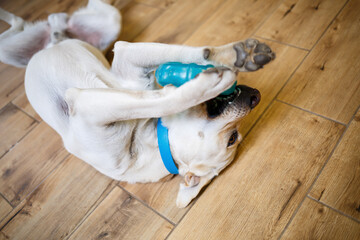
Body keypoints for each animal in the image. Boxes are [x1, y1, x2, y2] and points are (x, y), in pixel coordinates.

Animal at [0, 0, 276, 207]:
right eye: (233, 139)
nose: (256, 95)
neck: (149, 138)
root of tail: (51, 41)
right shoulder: (125, 57)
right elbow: (189, 54)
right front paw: (237, 55)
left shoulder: (88, 103)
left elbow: (157, 101)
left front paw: (204, 82)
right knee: (33, 22)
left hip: (94, 29)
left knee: (37, 23)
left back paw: (53, 23)